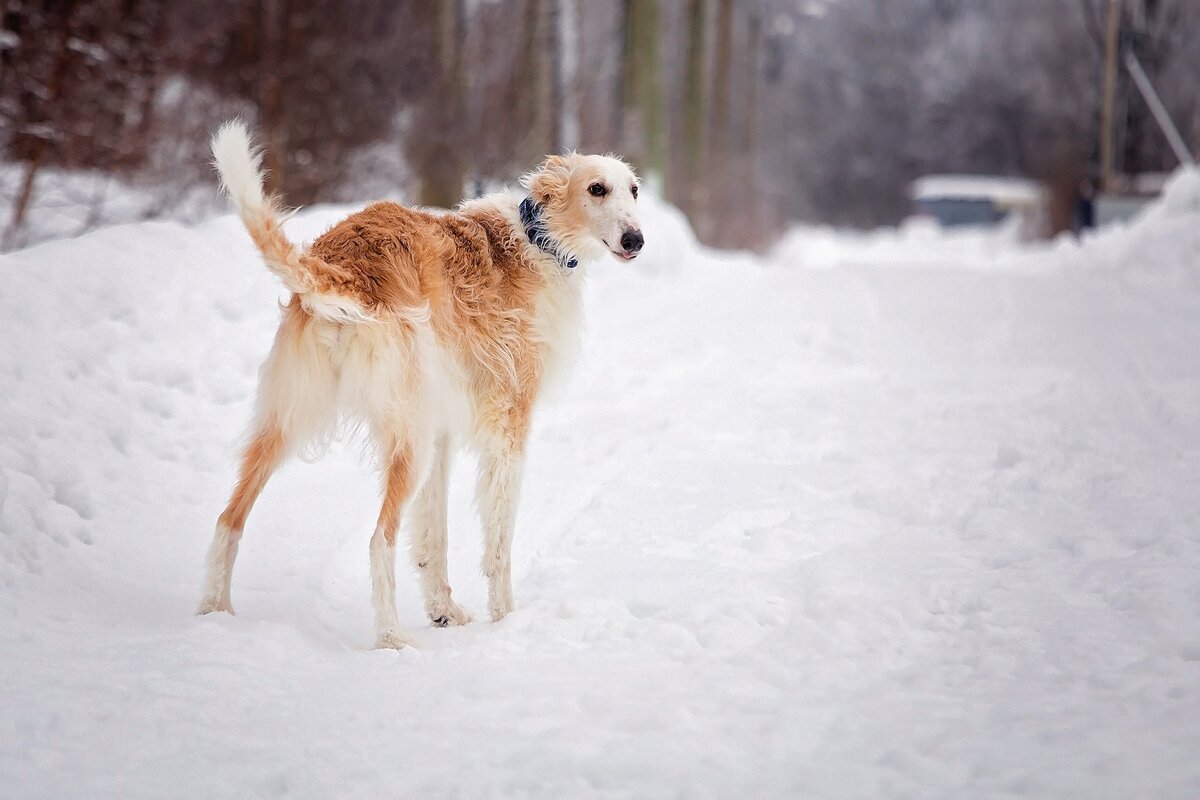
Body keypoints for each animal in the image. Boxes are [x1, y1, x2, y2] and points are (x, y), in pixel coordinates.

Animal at [199, 120, 648, 652]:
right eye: (597, 188)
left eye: (634, 190)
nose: (637, 239)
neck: (538, 240)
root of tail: (348, 267)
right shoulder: (507, 427)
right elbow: (498, 545)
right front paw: (506, 620)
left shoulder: (443, 432)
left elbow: (434, 538)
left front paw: (443, 611)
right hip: (406, 438)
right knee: (378, 539)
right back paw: (391, 638)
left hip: (291, 422)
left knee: (228, 519)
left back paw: (214, 613)